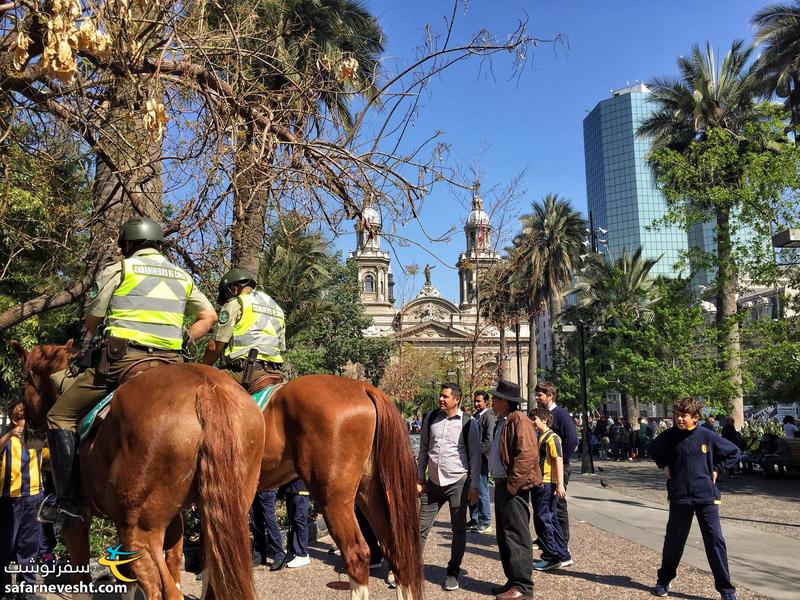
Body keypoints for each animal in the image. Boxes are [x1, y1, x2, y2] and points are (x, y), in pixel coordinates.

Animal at [10, 342, 266, 600]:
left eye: (23, 382)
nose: (28, 434)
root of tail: (206, 389)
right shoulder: (174, 523)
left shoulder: (77, 523)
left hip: (137, 529)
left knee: (162, 589)